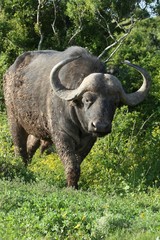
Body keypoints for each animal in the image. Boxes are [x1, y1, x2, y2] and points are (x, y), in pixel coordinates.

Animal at [4, 46, 151, 188]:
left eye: (115, 102)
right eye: (87, 99)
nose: (101, 126)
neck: (78, 122)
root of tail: (11, 70)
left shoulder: (89, 139)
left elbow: (78, 161)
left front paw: (75, 184)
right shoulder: (62, 135)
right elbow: (71, 162)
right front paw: (71, 186)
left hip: (37, 127)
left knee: (30, 146)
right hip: (13, 118)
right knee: (19, 146)